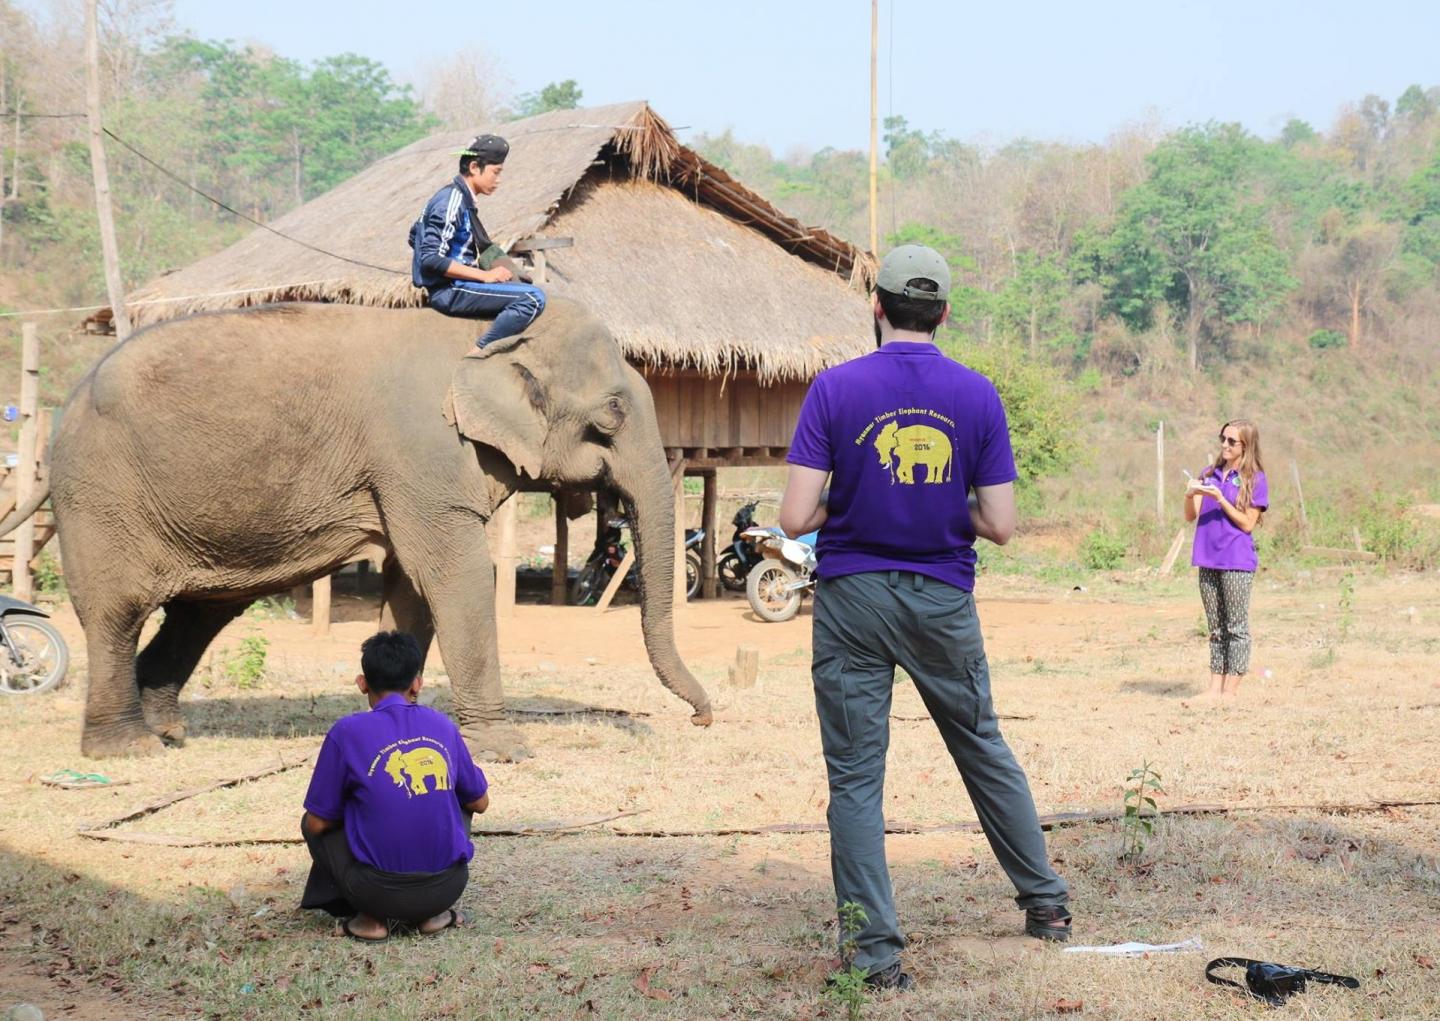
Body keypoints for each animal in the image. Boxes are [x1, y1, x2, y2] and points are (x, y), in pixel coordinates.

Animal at [0, 295, 711, 754]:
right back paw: (127, 750)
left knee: (204, 611)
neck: (485, 333)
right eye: (613, 412)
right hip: (103, 496)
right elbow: (455, 572)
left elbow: (411, 584)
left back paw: (171, 734)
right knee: (117, 612)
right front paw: (506, 748)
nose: (703, 718)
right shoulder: (422, 447)